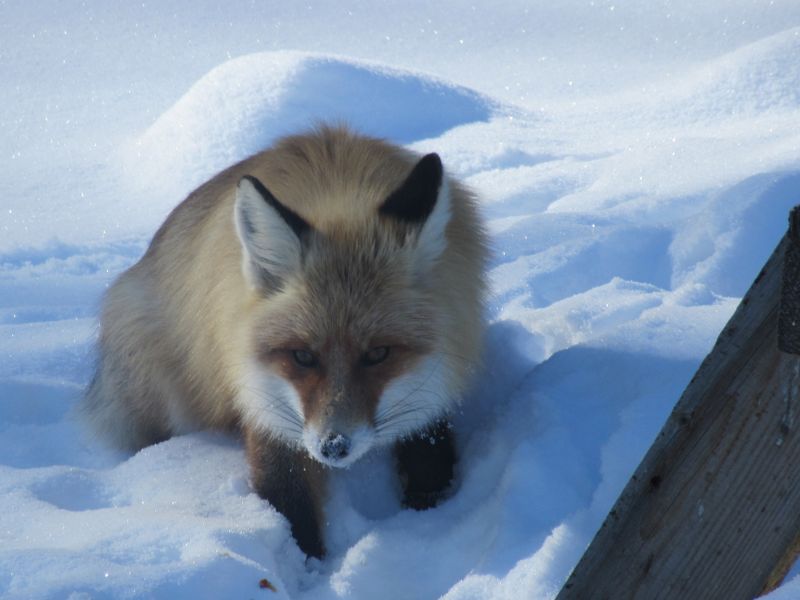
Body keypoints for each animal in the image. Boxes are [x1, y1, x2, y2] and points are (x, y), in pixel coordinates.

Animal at [83, 125, 488, 558]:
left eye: (378, 354)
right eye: (302, 356)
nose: (333, 447)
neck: (339, 189)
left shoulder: (433, 387)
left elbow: (431, 461)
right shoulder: (264, 399)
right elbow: (288, 498)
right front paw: (305, 564)